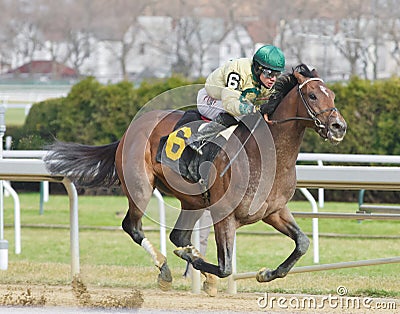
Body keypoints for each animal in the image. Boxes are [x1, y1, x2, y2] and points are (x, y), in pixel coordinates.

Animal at [45, 64, 346, 296]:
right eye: (312, 95)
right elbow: (225, 267)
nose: (338, 126)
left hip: (192, 201)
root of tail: (129, 131)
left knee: (177, 235)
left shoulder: (274, 211)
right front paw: (194, 263)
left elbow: (302, 243)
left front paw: (266, 273)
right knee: (133, 227)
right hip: (141, 187)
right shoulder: (225, 215)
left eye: (331, 94)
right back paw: (165, 268)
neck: (267, 155)